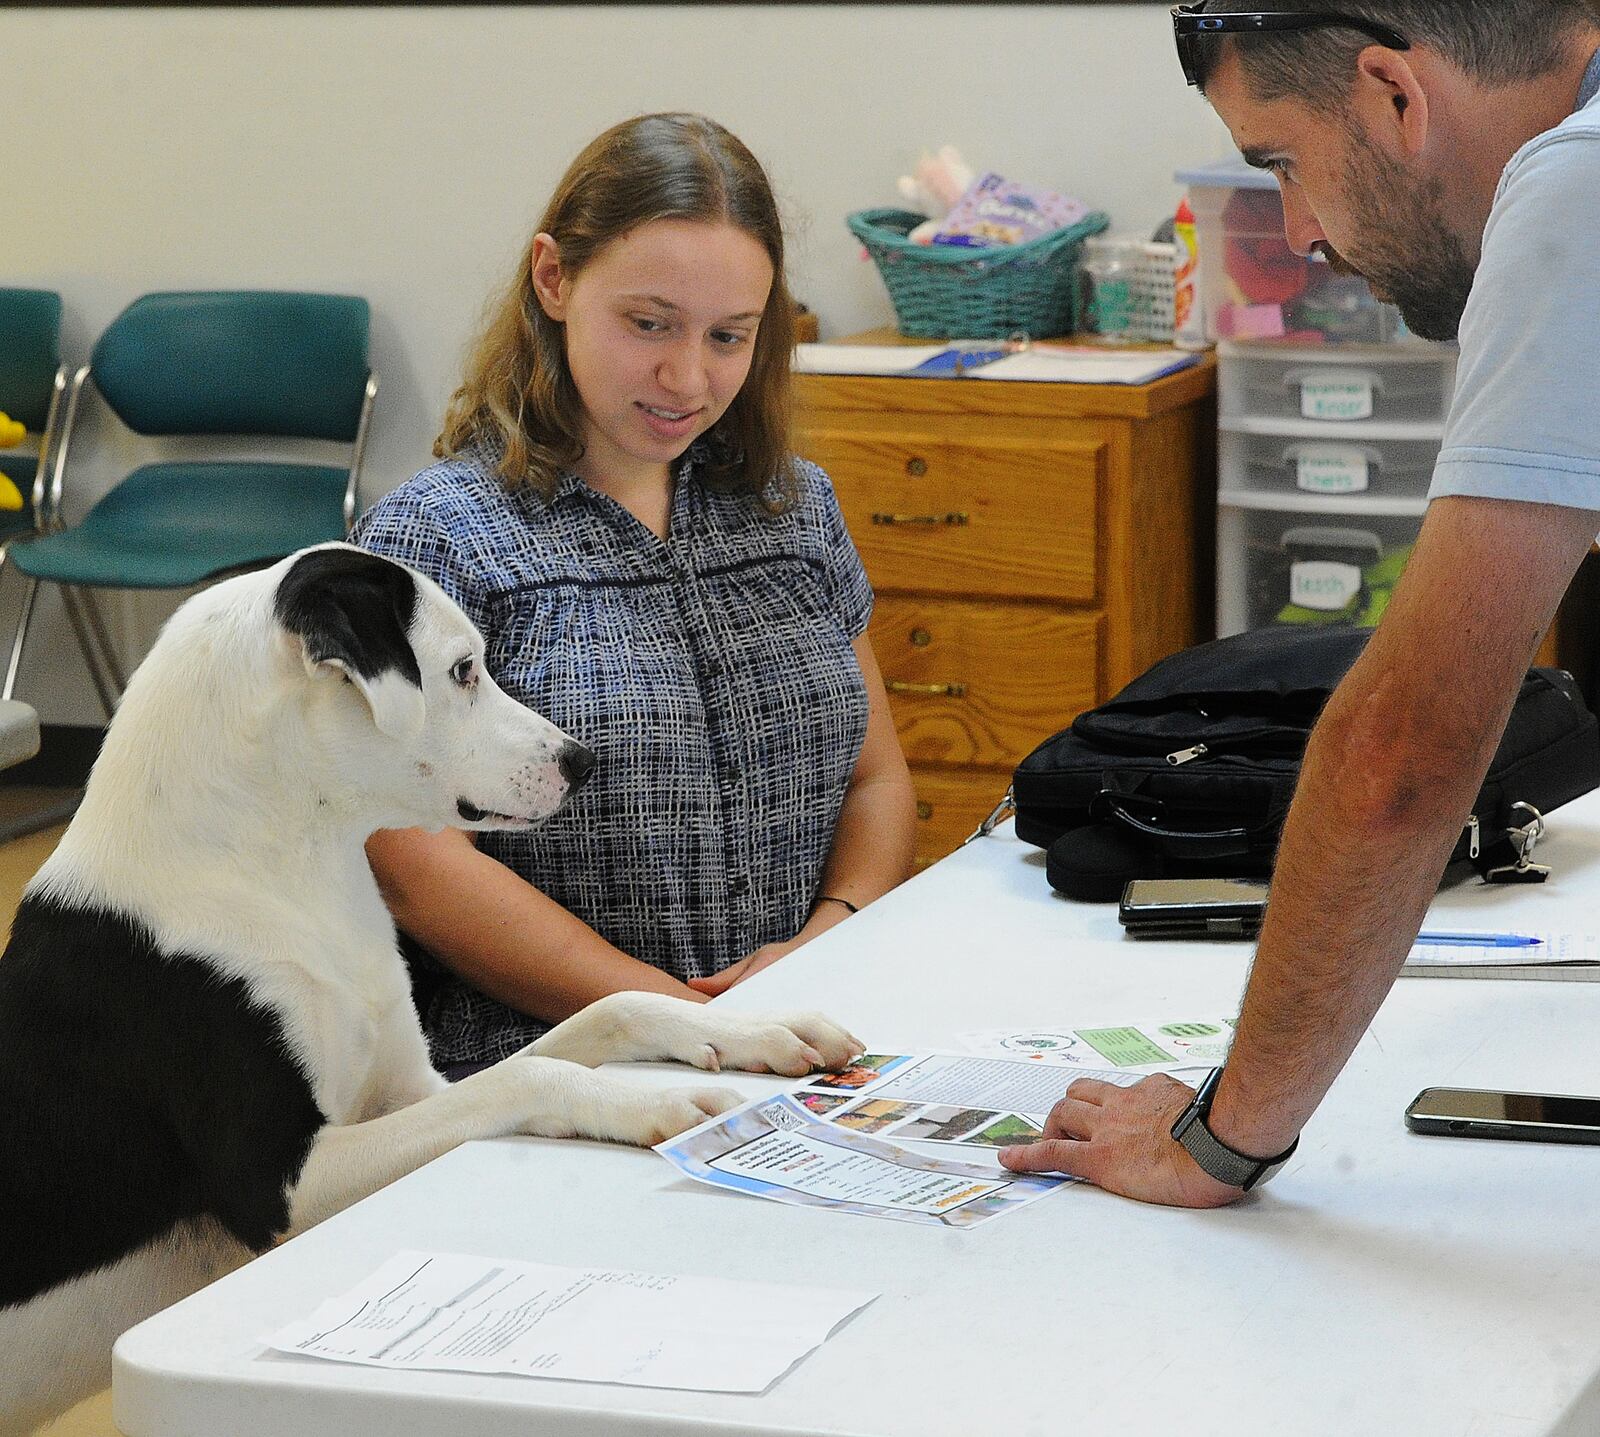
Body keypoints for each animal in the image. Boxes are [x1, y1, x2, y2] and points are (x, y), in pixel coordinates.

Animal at [0, 544, 864, 1427]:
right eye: (461, 669)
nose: (581, 762)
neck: (282, 866)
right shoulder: (281, 1184)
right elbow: (532, 1073)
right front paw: (653, 1101)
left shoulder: (413, 1090)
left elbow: (613, 1007)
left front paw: (755, 1030)